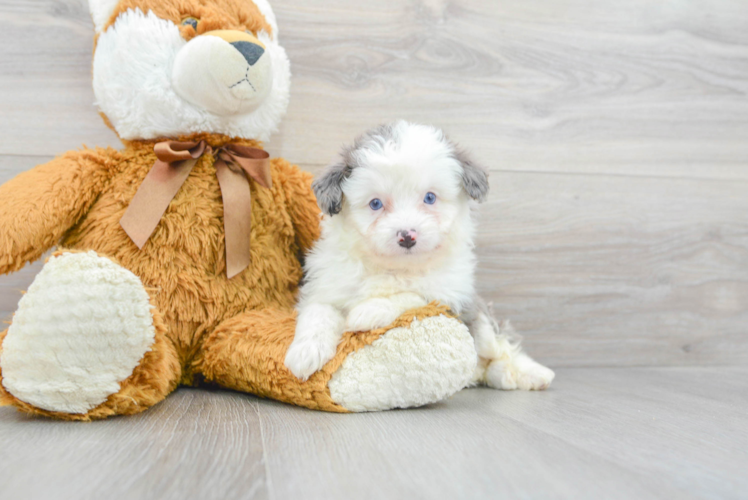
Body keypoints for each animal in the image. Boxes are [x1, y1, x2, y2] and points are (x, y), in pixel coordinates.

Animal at [286, 121, 556, 390]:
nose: (407, 236)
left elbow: (411, 295)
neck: (397, 267)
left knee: (499, 346)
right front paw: (305, 352)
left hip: (482, 322)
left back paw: (531, 373)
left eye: (430, 197)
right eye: (375, 204)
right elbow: (318, 313)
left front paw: (370, 310)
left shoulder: (448, 294)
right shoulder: (327, 286)